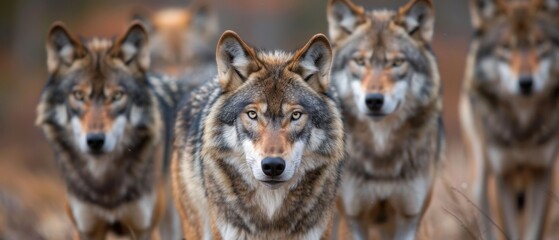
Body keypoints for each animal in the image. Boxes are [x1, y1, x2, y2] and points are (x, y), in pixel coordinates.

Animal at [36, 21, 179, 240]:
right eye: (79, 95)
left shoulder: (144, 228)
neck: (105, 184)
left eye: (117, 96)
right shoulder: (86, 229)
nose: (95, 140)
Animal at [462, 0, 559, 240]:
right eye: (506, 47)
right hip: (480, 178)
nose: (525, 83)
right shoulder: (502, 175)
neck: (522, 128)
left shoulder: (542, 172)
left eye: (539, 44)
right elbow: (509, 231)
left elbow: (534, 231)